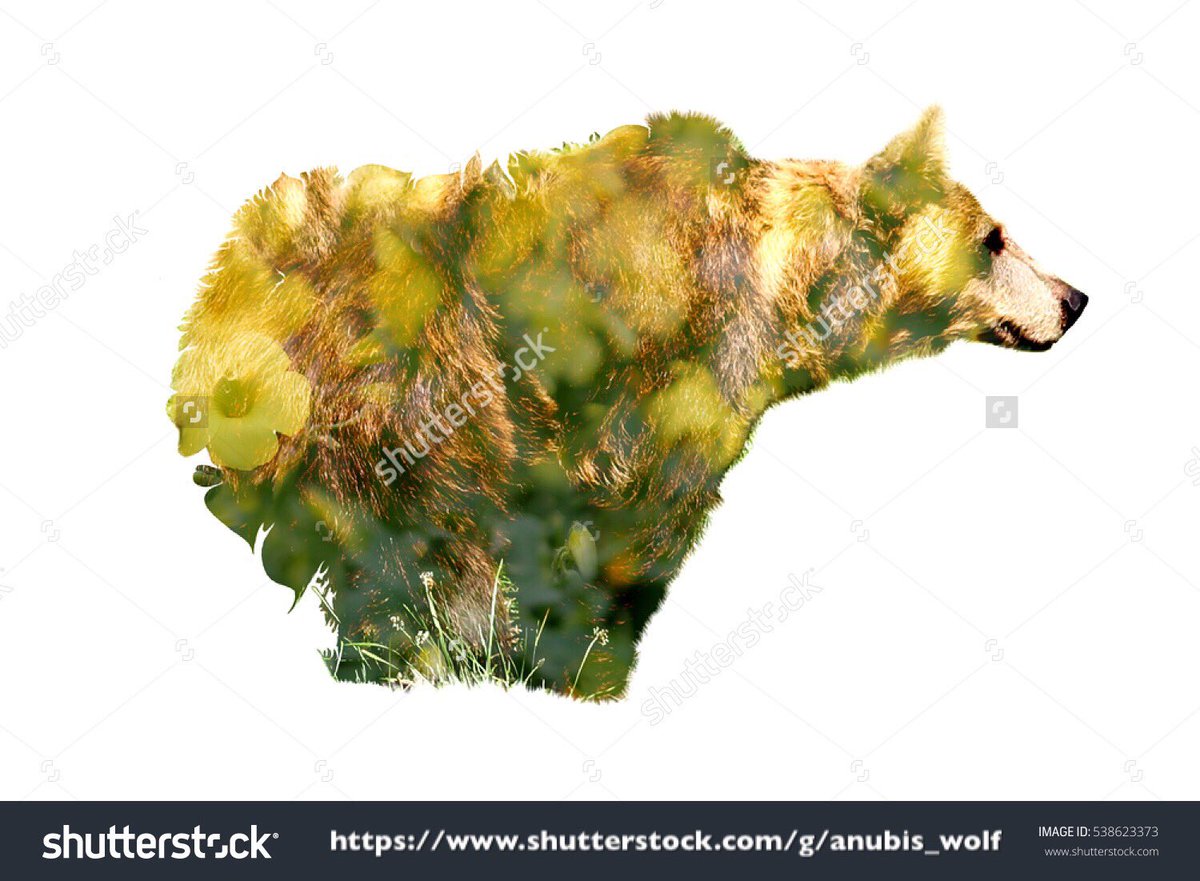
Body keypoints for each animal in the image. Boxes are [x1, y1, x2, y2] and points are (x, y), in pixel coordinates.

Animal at [167, 107, 1087, 699]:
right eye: (995, 238)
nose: (1074, 297)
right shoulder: (630, 401)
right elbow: (602, 546)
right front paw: (572, 666)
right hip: (367, 386)